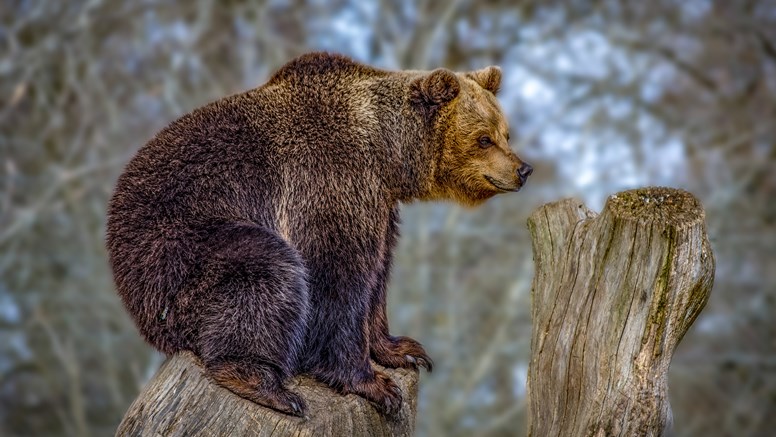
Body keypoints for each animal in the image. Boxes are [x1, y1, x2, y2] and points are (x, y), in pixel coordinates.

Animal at [106, 51, 532, 416]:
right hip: (175, 246)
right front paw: (373, 385)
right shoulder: (325, 180)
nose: (523, 169)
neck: (384, 153)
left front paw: (403, 350)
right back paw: (266, 384)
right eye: (484, 138)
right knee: (265, 270)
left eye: (506, 133)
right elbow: (336, 276)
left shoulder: (379, 206)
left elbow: (377, 275)